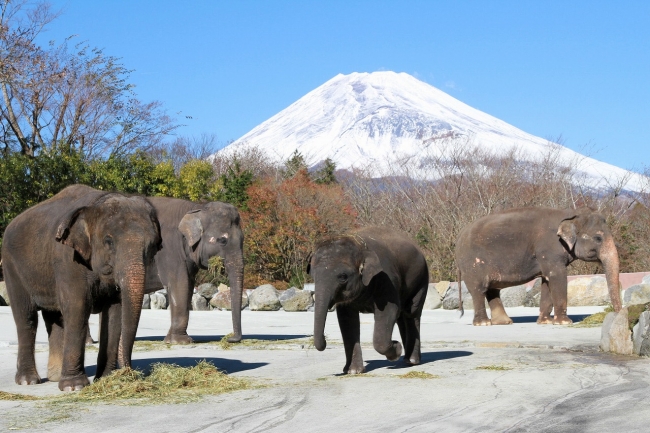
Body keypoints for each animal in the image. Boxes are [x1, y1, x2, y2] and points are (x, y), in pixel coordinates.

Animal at [1, 184, 161, 390]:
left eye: (153, 246)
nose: (129, 372)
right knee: (26, 317)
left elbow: (115, 312)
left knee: (54, 317)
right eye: (109, 241)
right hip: (11, 267)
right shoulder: (67, 259)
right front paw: (74, 386)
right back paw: (28, 381)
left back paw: (54, 377)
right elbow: (77, 306)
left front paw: (106, 379)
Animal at [145, 197, 246, 344]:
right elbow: (179, 283)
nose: (230, 339)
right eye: (222, 240)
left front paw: (170, 340)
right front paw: (181, 341)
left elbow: (188, 285)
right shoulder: (167, 248)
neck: (196, 208)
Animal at [308, 224, 428, 372]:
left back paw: (412, 360)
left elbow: (388, 311)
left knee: (411, 313)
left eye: (343, 277)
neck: (359, 245)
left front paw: (396, 350)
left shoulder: (386, 278)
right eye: (313, 276)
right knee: (402, 316)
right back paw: (407, 359)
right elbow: (347, 320)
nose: (325, 340)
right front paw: (353, 371)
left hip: (421, 278)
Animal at [454, 206, 620, 324]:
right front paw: (564, 323)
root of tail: (459, 236)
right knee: (479, 289)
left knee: (492, 290)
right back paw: (484, 323)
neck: (570, 213)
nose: (617, 313)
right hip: (472, 264)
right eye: (598, 238)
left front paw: (545, 322)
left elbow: (546, 280)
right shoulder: (549, 248)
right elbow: (557, 276)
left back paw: (504, 322)